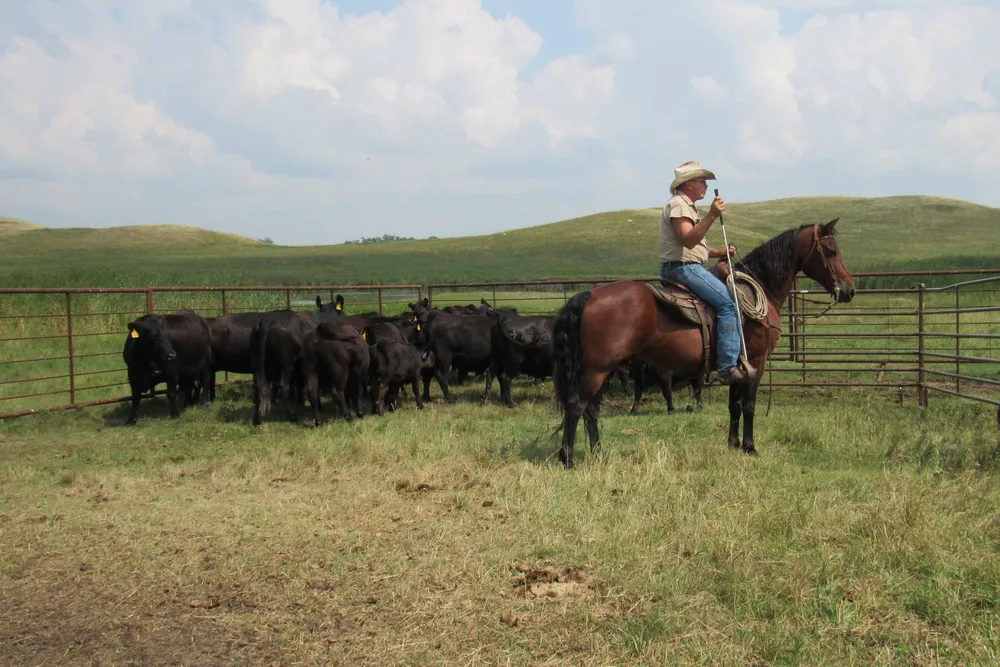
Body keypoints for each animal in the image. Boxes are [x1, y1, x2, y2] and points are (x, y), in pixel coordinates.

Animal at [551, 219, 856, 468]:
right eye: (831, 251)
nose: (850, 290)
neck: (761, 286)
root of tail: (589, 295)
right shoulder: (756, 363)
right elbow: (749, 406)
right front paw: (750, 448)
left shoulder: (736, 366)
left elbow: (734, 405)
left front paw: (733, 444)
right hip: (597, 369)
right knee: (577, 405)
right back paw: (568, 459)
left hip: (602, 369)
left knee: (592, 410)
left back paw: (598, 453)